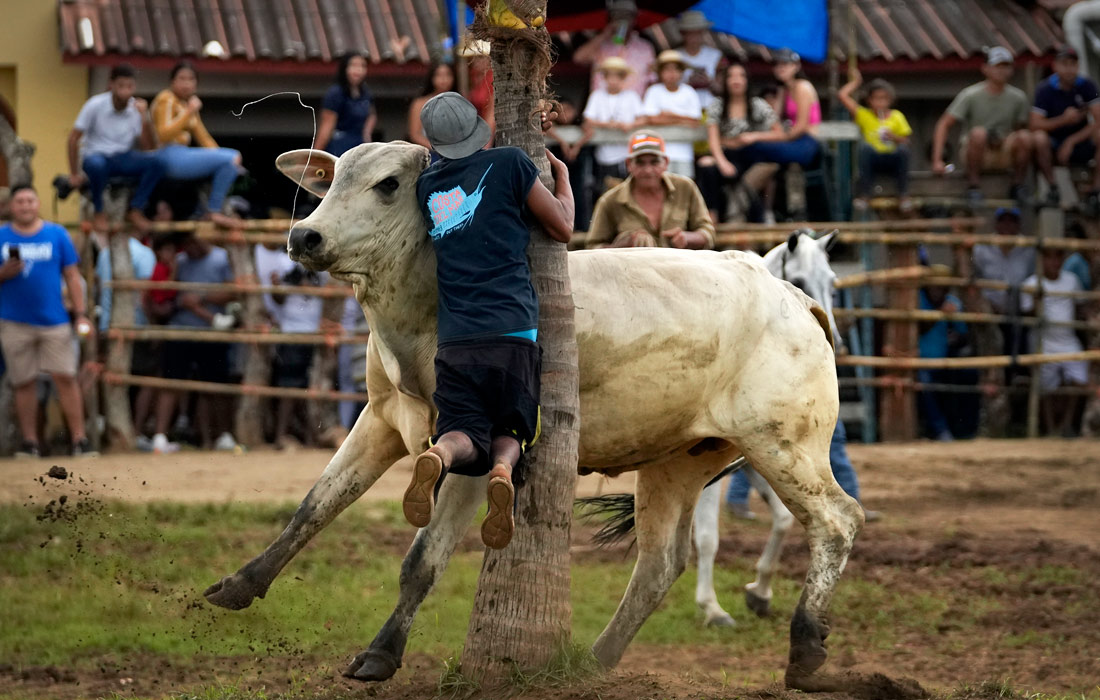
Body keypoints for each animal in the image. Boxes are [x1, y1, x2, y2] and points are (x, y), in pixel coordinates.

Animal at [202, 141, 862, 691]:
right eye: (333, 178)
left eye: (388, 184)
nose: (305, 236)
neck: (428, 306)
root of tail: (793, 298)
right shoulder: (382, 419)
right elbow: (315, 506)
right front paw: (239, 585)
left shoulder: (479, 440)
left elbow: (422, 559)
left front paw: (381, 654)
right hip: (678, 461)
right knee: (659, 564)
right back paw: (594, 661)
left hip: (783, 446)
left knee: (837, 521)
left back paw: (805, 646)